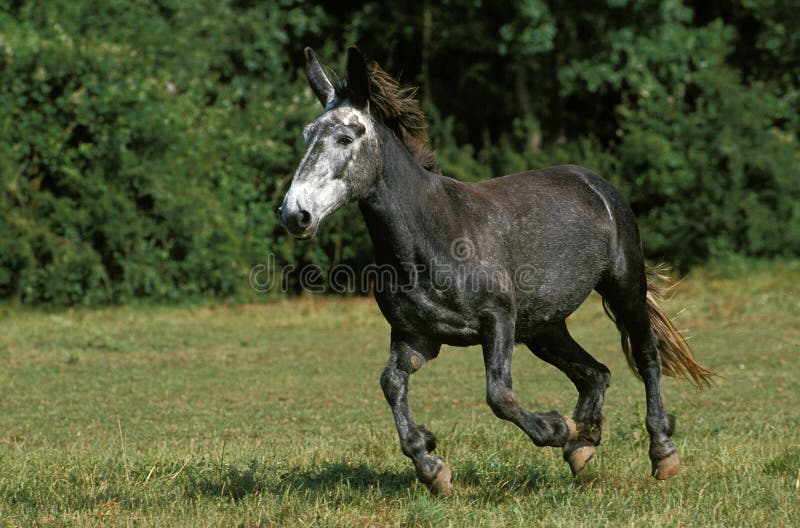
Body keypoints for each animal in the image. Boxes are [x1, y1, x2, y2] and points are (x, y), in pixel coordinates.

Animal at [280, 45, 712, 496]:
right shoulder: (416, 337)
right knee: (595, 373)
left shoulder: (497, 319)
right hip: (543, 327)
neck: (433, 235)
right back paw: (583, 444)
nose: (295, 214)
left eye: (346, 138)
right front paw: (432, 466)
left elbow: (499, 394)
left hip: (623, 288)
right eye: (307, 135)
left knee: (646, 358)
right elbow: (392, 384)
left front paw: (556, 428)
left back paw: (660, 452)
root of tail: (598, 185)